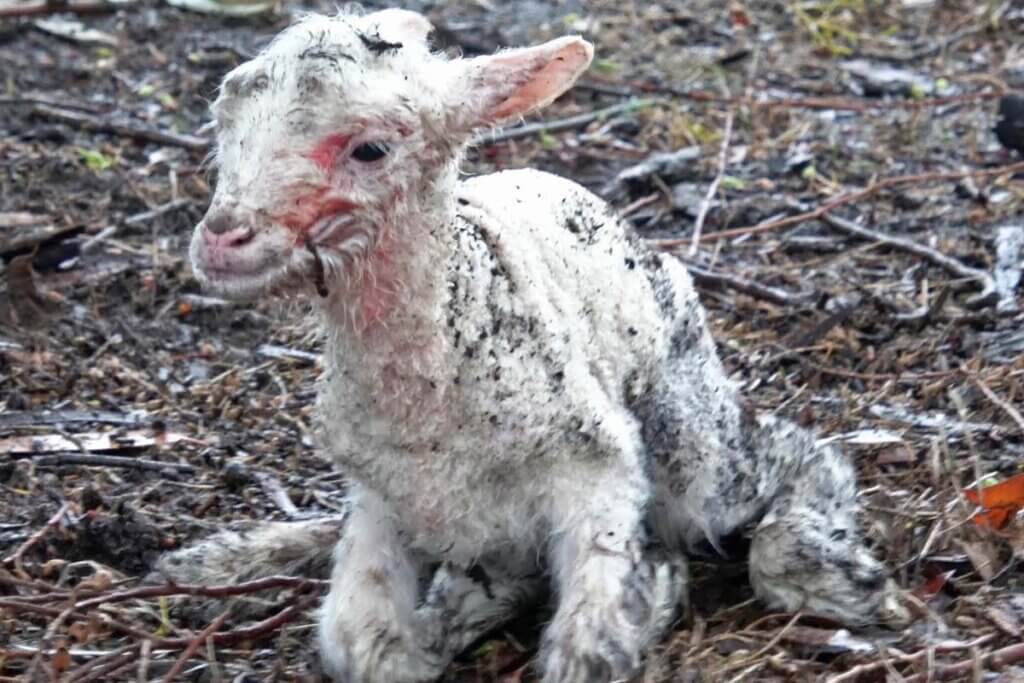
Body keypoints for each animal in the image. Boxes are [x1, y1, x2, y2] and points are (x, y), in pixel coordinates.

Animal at [161, 7, 913, 679]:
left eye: (370, 148)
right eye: (223, 123)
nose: (221, 239)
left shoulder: (598, 462)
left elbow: (591, 648)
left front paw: (640, 598)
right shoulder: (381, 495)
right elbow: (363, 645)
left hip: (689, 433)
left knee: (793, 454)